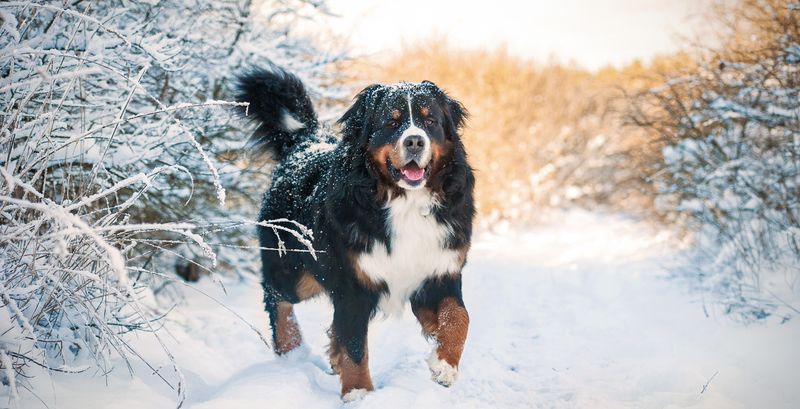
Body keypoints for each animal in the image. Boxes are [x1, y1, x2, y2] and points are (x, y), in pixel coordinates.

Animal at [238, 65, 476, 400]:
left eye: (430, 121)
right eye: (391, 122)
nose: (415, 141)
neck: (404, 202)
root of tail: (306, 142)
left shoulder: (439, 273)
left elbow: (458, 318)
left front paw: (444, 366)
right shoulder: (352, 283)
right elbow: (354, 346)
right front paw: (358, 392)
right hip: (296, 273)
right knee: (277, 296)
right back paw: (291, 348)